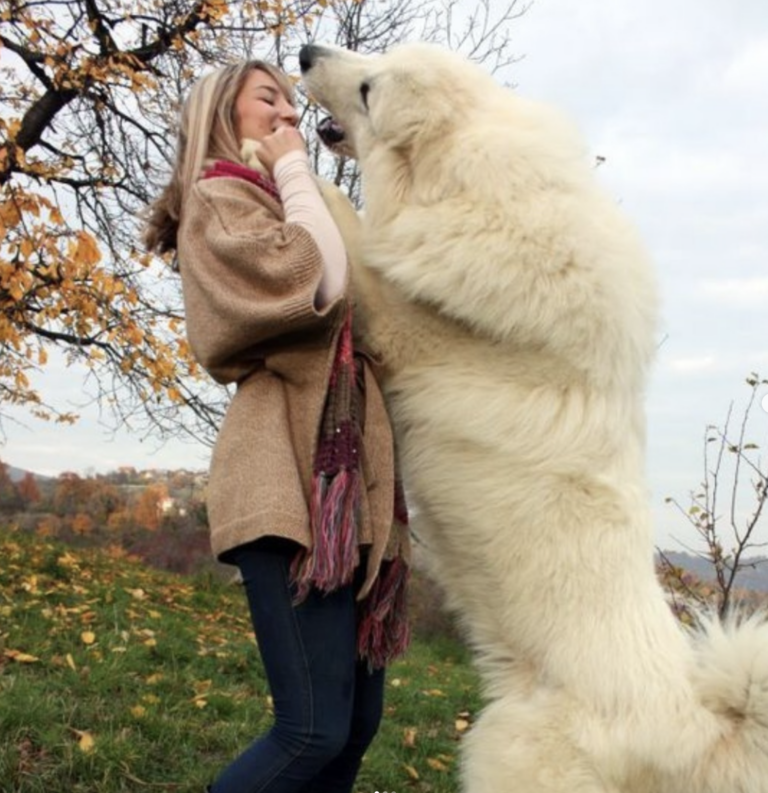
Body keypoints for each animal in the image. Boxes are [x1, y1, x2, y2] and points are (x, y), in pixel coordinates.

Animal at [298, 43, 768, 792]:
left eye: (370, 89)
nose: (306, 52)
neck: (474, 188)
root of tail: (695, 731)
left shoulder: (401, 324)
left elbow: (350, 224)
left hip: (509, 754)